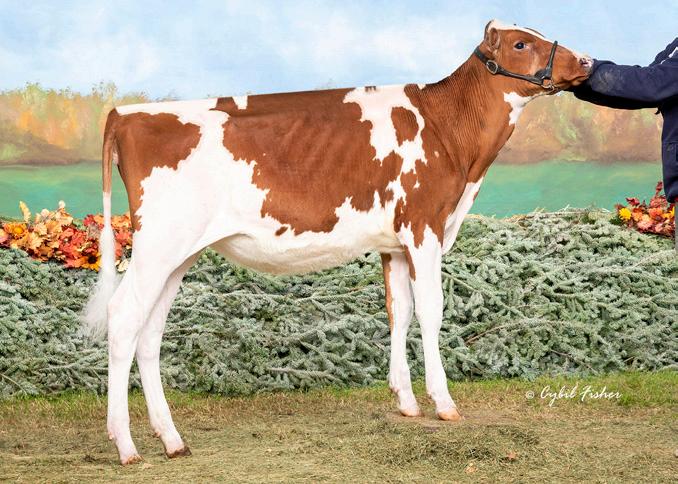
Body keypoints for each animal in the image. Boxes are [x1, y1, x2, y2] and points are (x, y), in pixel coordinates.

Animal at [83, 20, 592, 464]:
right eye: (521, 44)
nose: (586, 60)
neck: (448, 132)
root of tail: (124, 114)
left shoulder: (394, 244)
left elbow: (399, 311)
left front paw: (406, 401)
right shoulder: (424, 227)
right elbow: (431, 311)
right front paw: (443, 403)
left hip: (178, 255)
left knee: (150, 331)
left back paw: (172, 440)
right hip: (159, 245)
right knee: (124, 318)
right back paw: (125, 445)